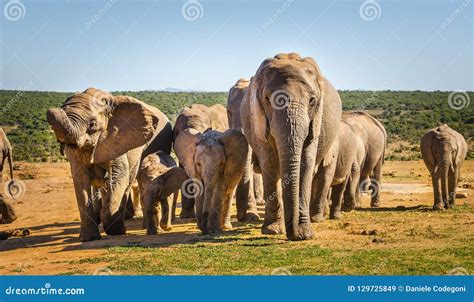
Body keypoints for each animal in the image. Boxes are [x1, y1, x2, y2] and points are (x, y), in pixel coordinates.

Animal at [45, 87, 172, 241]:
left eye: (92, 125)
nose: (52, 109)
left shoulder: (118, 139)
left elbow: (119, 175)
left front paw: (113, 228)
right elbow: (80, 180)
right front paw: (89, 238)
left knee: (128, 181)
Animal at [241, 52, 340, 241]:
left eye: (312, 100)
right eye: (267, 99)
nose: (293, 235)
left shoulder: (315, 122)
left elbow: (306, 164)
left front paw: (305, 233)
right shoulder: (258, 121)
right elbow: (269, 164)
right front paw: (273, 230)